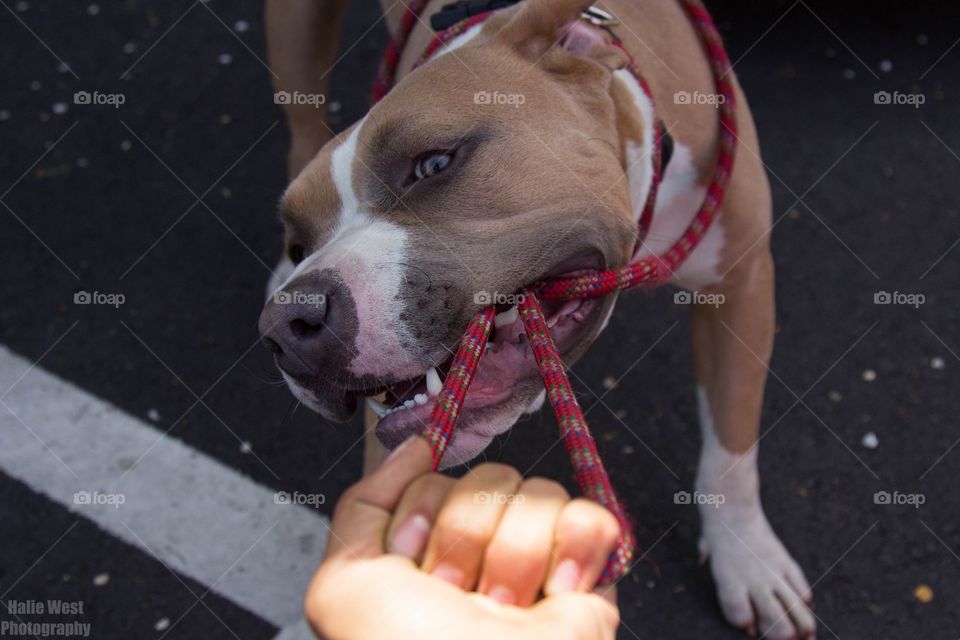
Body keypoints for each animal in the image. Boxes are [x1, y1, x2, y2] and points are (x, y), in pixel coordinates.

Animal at [258, 2, 812, 636]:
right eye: (301, 242)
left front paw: (748, 560)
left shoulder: (742, 282)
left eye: (434, 164)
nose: (284, 328)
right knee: (301, 123)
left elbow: (731, 450)